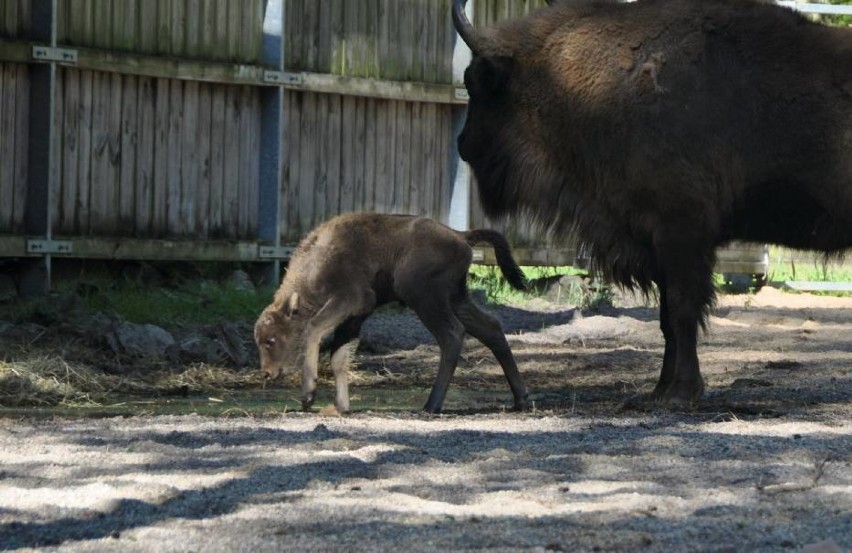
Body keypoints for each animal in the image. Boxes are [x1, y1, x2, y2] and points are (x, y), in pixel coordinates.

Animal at [256, 213, 528, 412]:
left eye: (271, 340)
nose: (267, 372)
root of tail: (458, 235)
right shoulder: (354, 318)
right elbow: (339, 358)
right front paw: (341, 407)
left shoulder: (352, 300)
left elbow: (315, 329)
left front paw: (309, 396)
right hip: (457, 298)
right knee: (490, 327)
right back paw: (520, 399)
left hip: (424, 297)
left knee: (452, 334)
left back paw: (431, 406)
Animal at [452, 1, 852, 406]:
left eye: (476, 83)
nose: (463, 144)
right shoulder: (655, 240)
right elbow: (666, 319)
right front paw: (659, 390)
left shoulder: (682, 233)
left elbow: (682, 309)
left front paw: (683, 391)